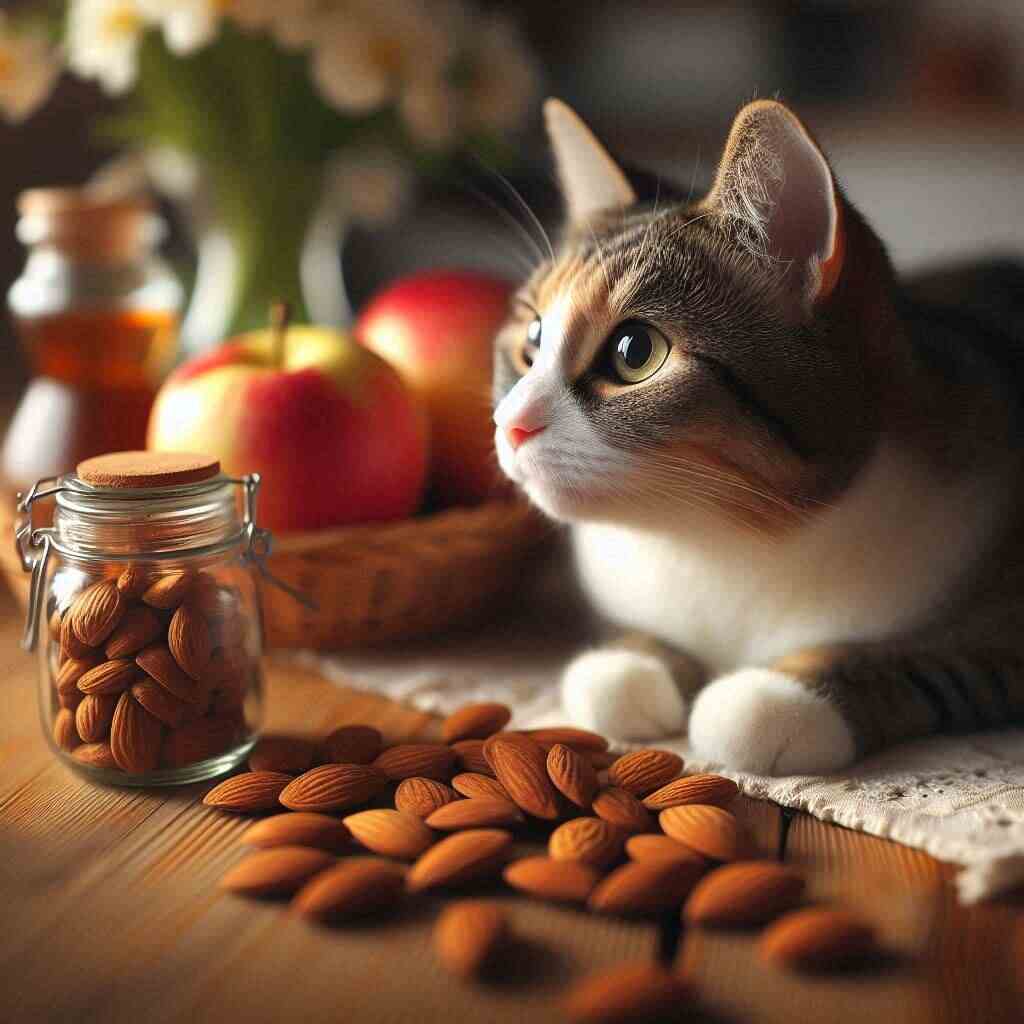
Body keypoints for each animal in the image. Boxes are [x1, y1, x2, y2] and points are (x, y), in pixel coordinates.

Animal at [489, 97, 1024, 774]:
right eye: (532, 339)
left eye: (635, 352)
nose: (510, 423)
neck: (723, 539)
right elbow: (616, 667)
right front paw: (635, 661)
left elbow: (937, 662)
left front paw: (783, 692)